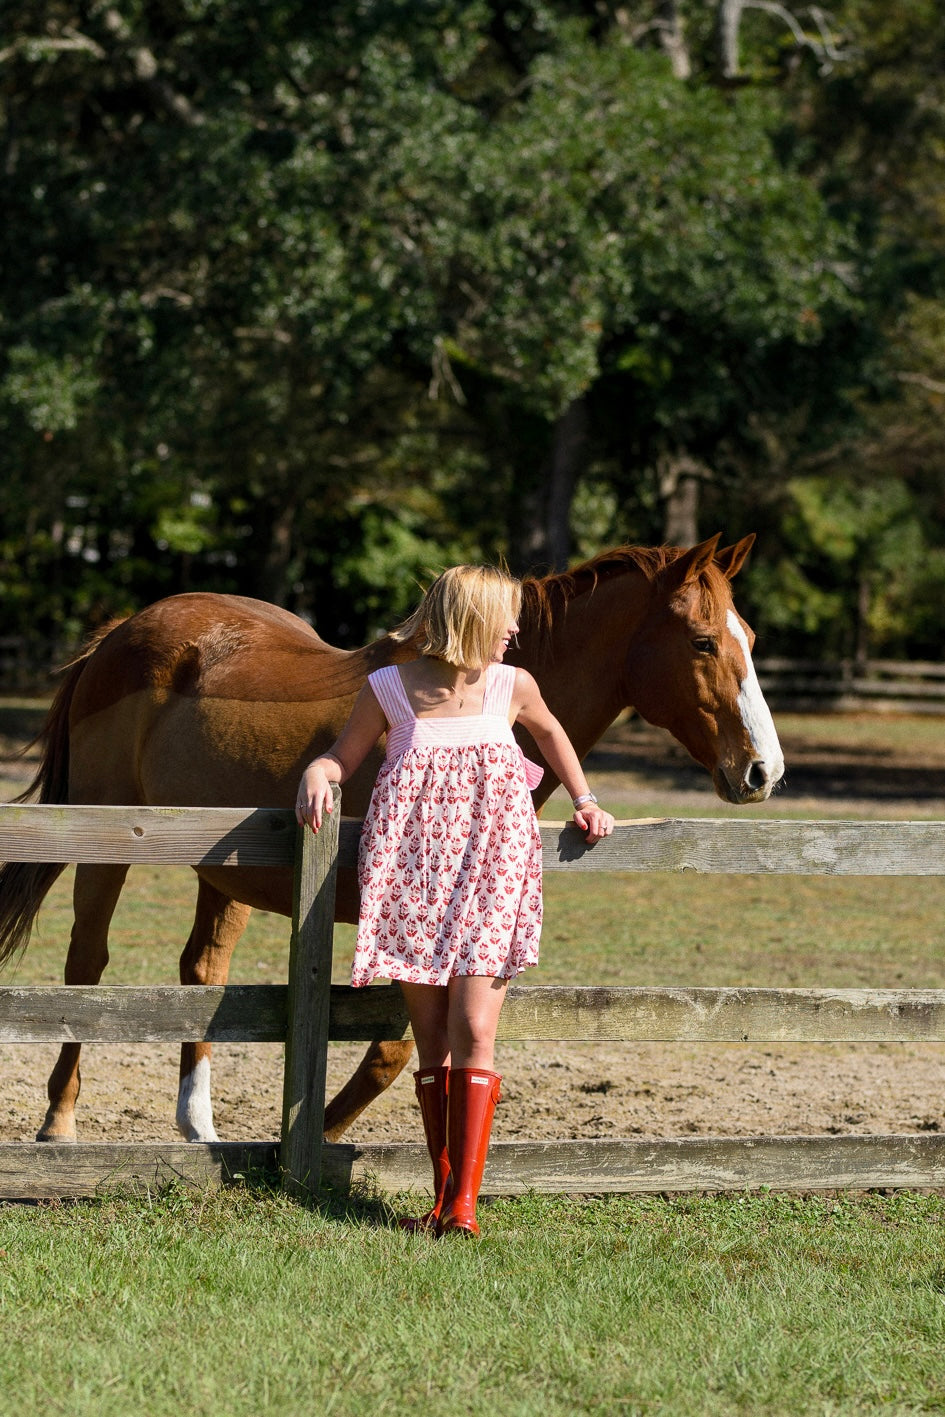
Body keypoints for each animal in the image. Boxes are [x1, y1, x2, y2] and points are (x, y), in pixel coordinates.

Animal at [0, 535, 782, 1144]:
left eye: (748, 639)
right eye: (703, 641)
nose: (762, 770)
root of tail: (125, 630)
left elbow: (403, 1050)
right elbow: (391, 1050)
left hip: (223, 872)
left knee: (201, 972)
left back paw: (199, 1126)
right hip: (107, 842)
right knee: (87, 967)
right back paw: (59, 1122)